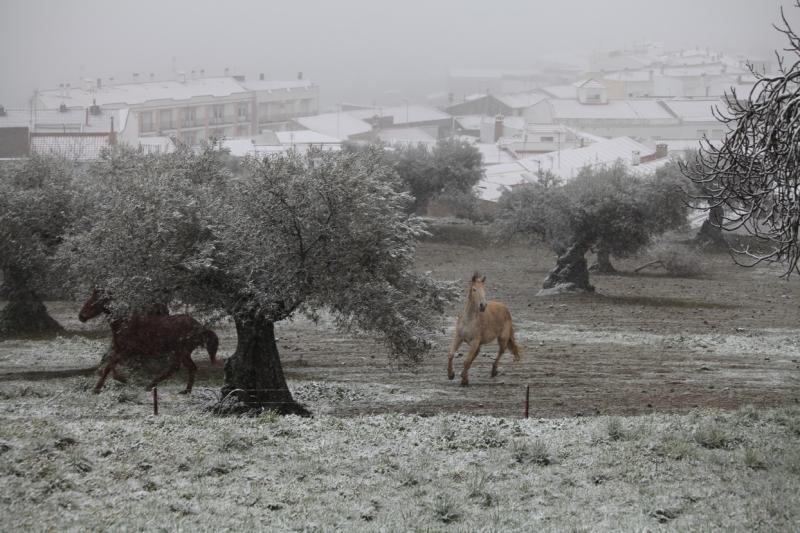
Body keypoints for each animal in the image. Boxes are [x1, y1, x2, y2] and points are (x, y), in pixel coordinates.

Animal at [78, 288, 219, 392]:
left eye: (94, 302)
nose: (81, 317)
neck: (124, 323)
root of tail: (200, 327)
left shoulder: (127, 351)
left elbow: (109, 365)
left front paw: (103, 386)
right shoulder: (118, 349)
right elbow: (109, 365)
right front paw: (118, 380)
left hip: (181, 351)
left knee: (182, 368)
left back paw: (157, 387)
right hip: (181, 352)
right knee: (183, 368)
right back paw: (182, 390)